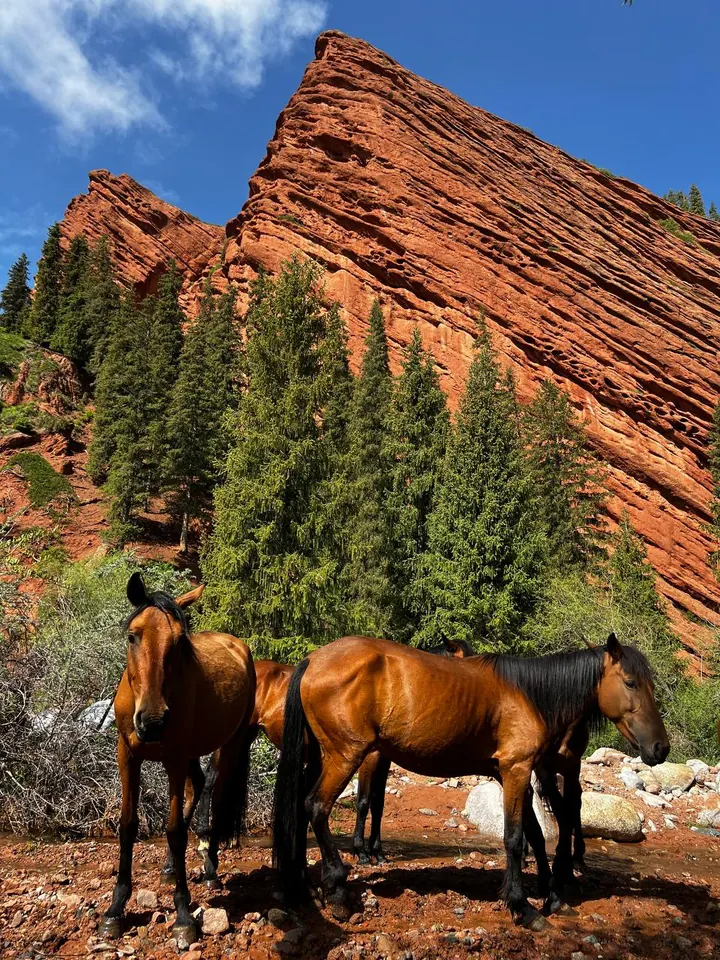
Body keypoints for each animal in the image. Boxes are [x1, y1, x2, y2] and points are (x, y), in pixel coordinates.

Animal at [99, 574, 256, 946]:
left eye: (179, 641)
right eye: (132, 636)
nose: (153, 721)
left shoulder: (173, 758)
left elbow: (173, 830)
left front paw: (184, 916)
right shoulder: (128, 756)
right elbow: (128, 825)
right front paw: (115, 908)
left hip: (228, 745)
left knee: (214, 791)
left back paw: (210, 866)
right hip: (191, 753)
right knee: (198, 785)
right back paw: (171, 867)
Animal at [272, 633, 669, 930]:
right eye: (631, 683)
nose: (660, 748)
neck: (530, 695)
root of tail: (313, 660)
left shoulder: (515, 774)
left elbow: (534, 834)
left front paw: (553, 897)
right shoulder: (517, 770)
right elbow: (514, 838)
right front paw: (522, 907)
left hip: (322, 756)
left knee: (300, 811)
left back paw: (302, 883)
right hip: (345, 756)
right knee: (316, 807)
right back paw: (337, 891)